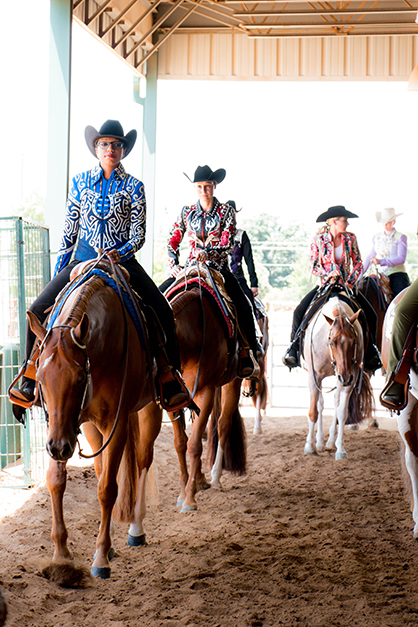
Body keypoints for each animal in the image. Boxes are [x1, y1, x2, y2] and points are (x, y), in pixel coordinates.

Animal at [25, 264, 160, 580]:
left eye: (78, 379)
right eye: (40, 379)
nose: (58, 448)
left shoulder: (115, 423)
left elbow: (108, 488)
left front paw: (100, 558)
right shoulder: (69, 424)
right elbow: (56, 481)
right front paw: (61, 556)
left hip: (149, 409)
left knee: (142, 460)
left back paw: (135, 529)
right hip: (89, 428)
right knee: (103, 467)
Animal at [302, 294, 374, 462]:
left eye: (354, 341)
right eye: (332, 342)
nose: (345, 376)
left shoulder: (350, 378)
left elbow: (342, 413)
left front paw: (340, 449)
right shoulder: (314, 376)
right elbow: (313, 411)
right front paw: (309, 446)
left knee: (334, 402)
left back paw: (328, 442)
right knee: (320, 405)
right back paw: (319, 442)